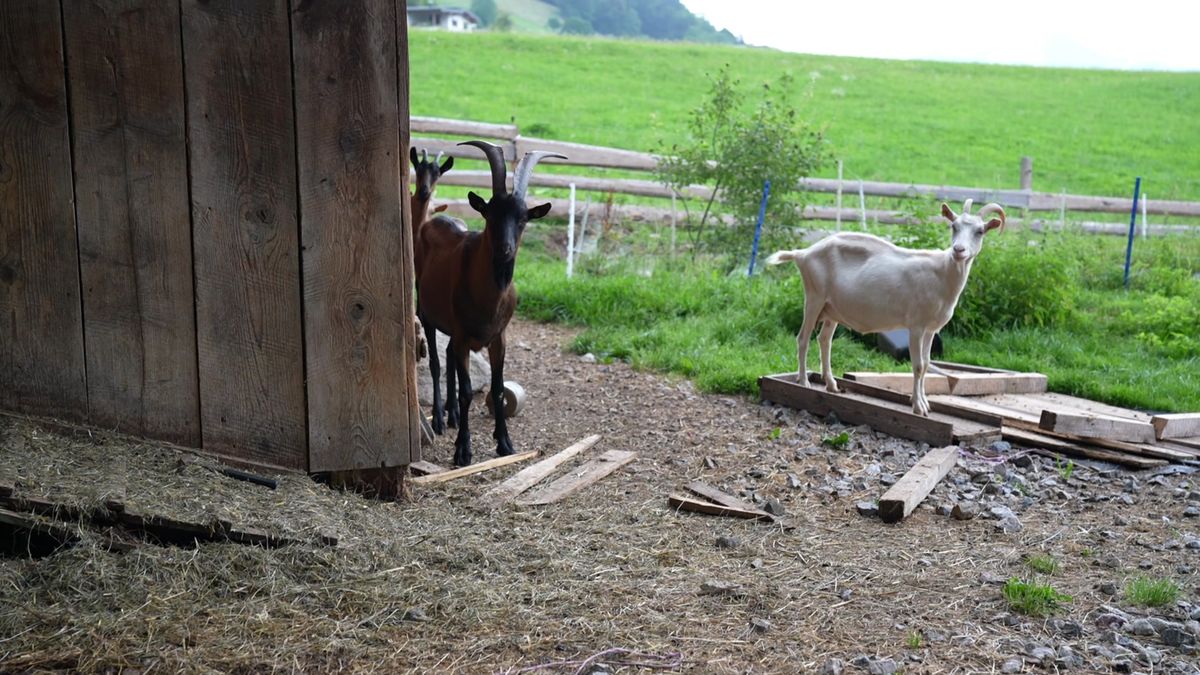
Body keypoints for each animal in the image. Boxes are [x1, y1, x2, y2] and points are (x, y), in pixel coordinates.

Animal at [415, 140, 562, 466]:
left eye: (522, 219)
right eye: (489, 214)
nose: (505, 249)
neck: (489, 296)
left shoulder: (499, 337)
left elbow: (496, 389)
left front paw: (505, 443)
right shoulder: (462, 334)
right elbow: (469, 391)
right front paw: (463, 450)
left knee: (448, 357)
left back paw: (453, 415)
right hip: (428, 313)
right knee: (436, 362)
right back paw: (440, 420)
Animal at [765, 199, 1005, 416]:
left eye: (980, 231)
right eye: (953, 226)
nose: (958, 250)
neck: (942, 273)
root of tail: (802, 253)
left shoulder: (931, 328)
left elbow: (927, 364)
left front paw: (925, 403)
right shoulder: (916, 326)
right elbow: (918, 365)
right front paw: (918, 407)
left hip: (832, 309)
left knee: (824, 340)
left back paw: (831, 384)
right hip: (814, 298)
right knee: (803, 338)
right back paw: (804, 382)